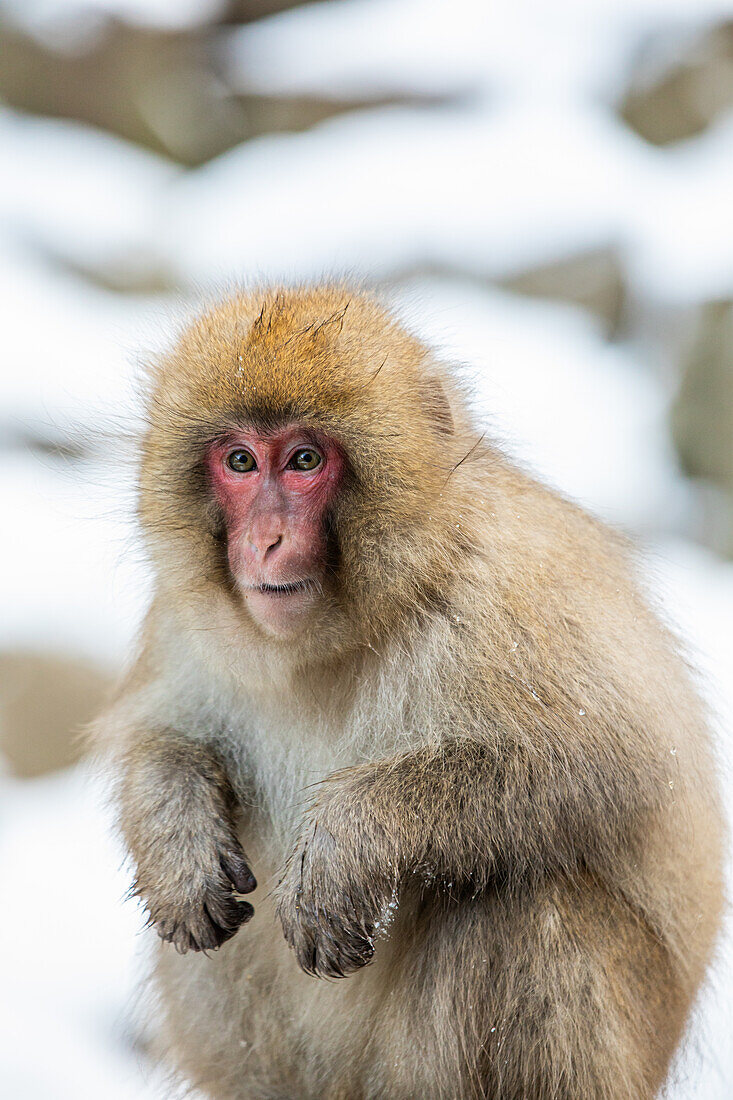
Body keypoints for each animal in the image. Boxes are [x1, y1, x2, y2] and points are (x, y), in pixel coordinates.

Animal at [100, 288, 721, 1100]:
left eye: (304, 461)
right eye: (239, 461)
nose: (263, 542)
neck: (340, 633)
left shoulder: (506, 587)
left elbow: (613, 763)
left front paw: (346, 840)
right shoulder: (184, 620)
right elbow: (163, 737)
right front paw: (176, 833)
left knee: (528, 902)